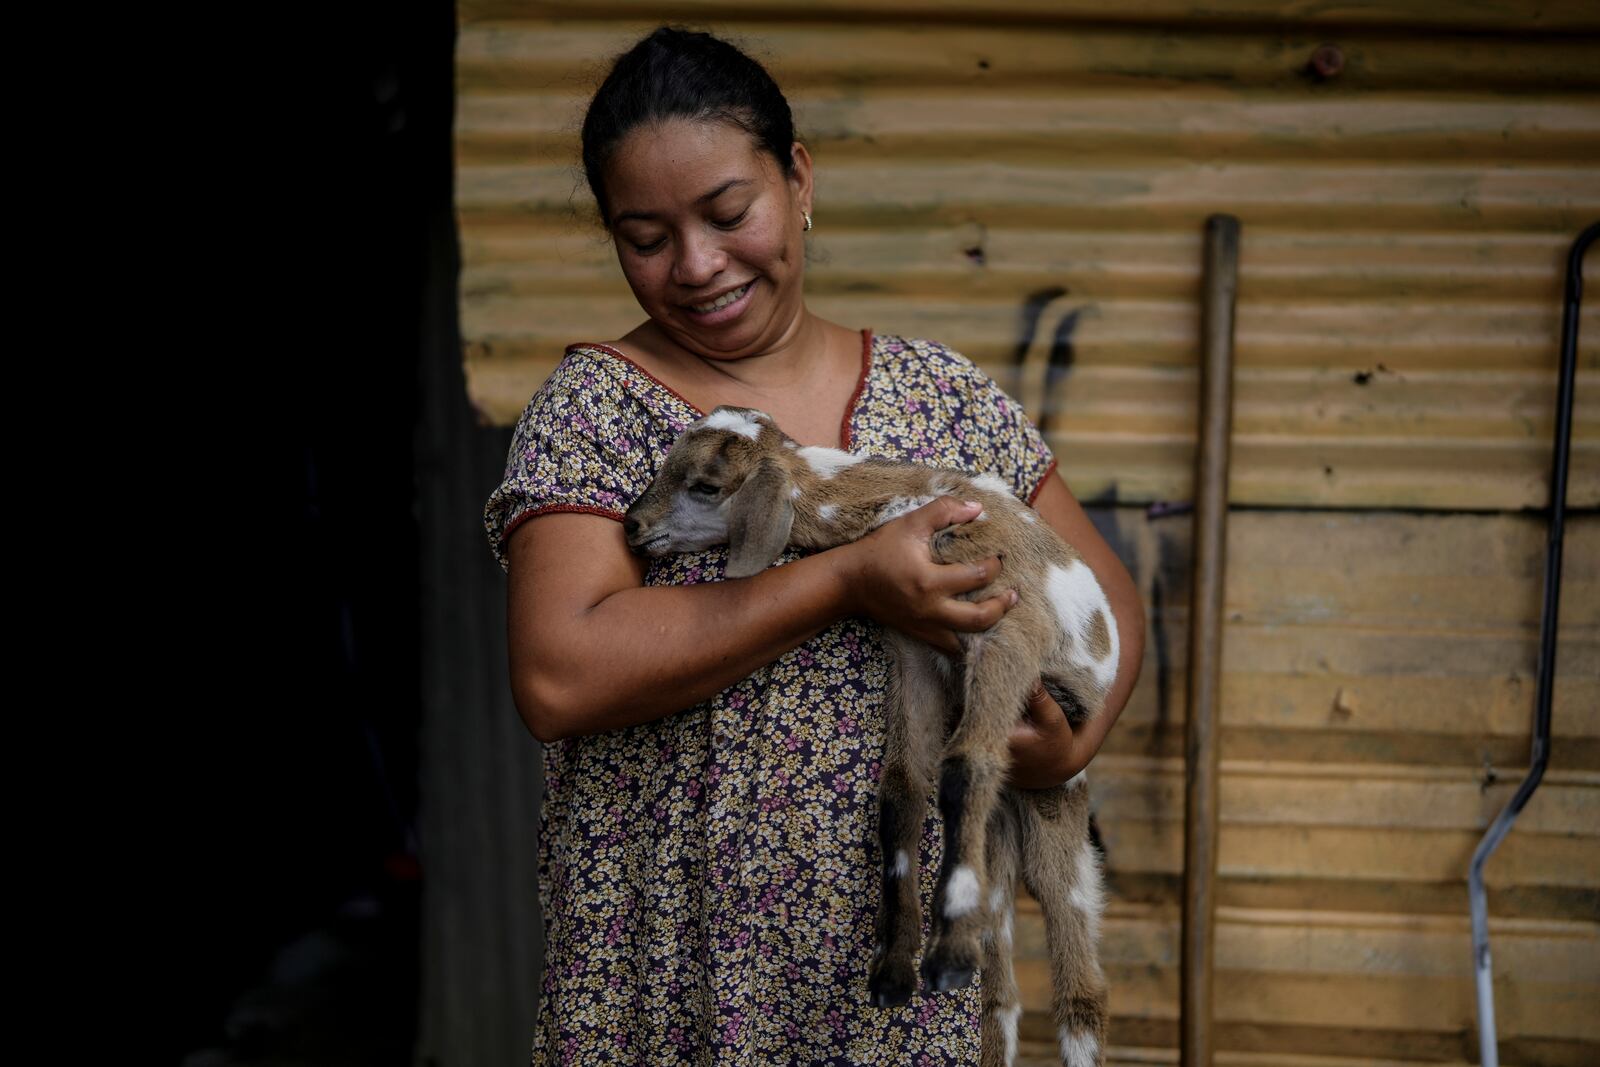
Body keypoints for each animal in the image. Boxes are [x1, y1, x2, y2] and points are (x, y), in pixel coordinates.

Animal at [624, 404, 1113, 1062]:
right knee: (1001, 1002)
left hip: (1061, 806)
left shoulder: (1005, 621)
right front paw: (893, 971)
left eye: (704, 485)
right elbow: (901, 792)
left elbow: (966, 765)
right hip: (1003, 843)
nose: (632, 525)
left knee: (1081, 985)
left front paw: (945, 957)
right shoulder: (914, 647)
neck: (901, 499)